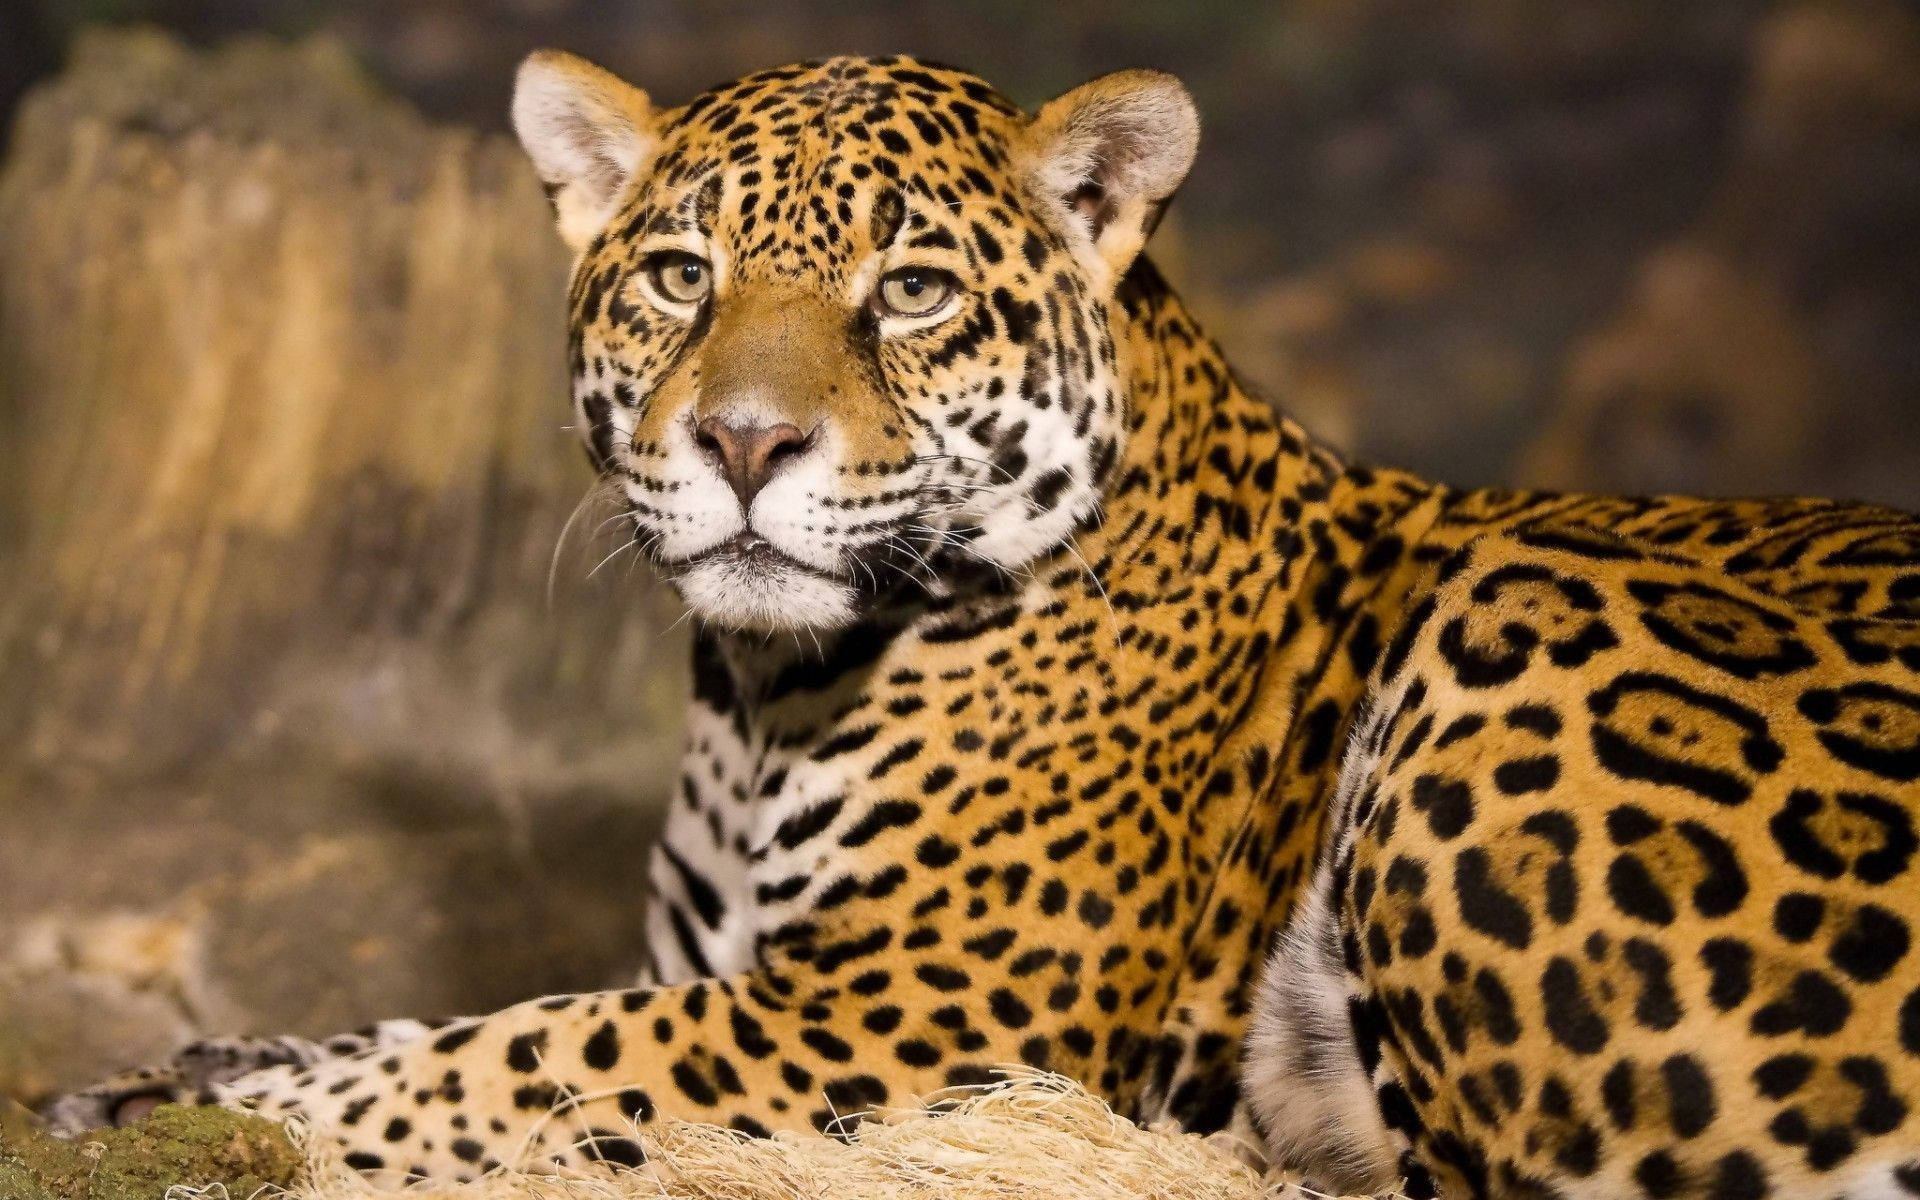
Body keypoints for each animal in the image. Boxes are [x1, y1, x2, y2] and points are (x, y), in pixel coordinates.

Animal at [40, 50, 1920, 1199]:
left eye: (916, 293)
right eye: (679, 278)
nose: (742, 444)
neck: (760, 695)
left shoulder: (907, 1011)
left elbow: (520, 1058)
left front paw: (213, 1110)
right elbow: (426, 1032)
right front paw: (163, 1075)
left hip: (1522, 605)